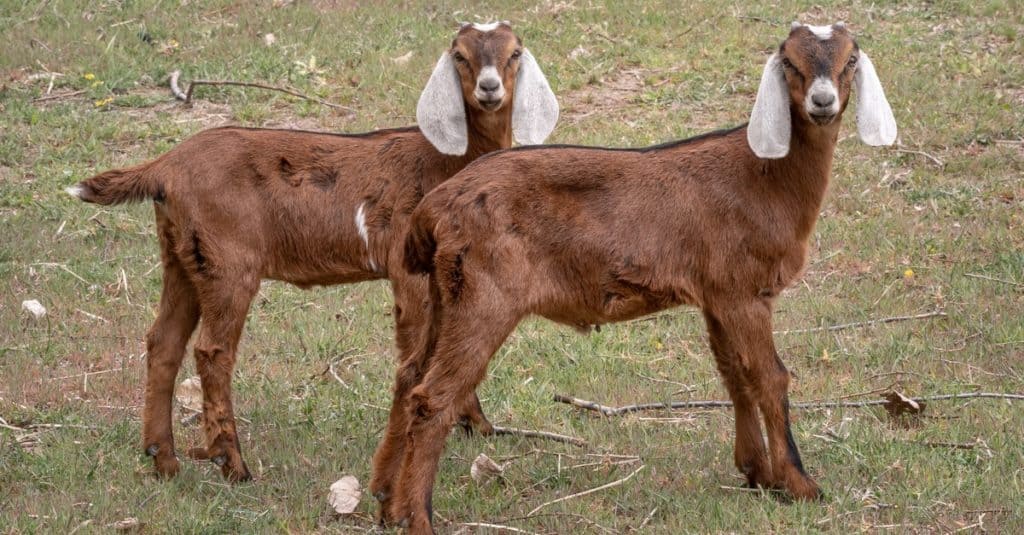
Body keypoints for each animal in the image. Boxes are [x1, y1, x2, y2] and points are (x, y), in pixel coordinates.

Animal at [66, 20, 561, 481]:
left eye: (515, 53)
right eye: (459, 55)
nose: (489, 87)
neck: (446, 160)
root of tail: (165, 166)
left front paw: (479, 426)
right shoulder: (410, 270)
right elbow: (421, 347)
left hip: (182, 255)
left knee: (163, 340)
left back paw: (163, 459)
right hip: (226, 258)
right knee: (211, 352)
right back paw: (233, 464)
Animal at [370, 21, 897, 528]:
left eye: (850, 60)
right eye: (789, 62)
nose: (822, 101)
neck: (765, 178)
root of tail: (434, 208)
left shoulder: (716, 293)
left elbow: (734, 374)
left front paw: (757, 473)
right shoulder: (744, 290)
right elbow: (770, 378)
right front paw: (800, 484)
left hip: (445, 291)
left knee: (410, 375)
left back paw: (387, 502)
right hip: (484, 295)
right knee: (433, 398)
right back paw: (418, 517)